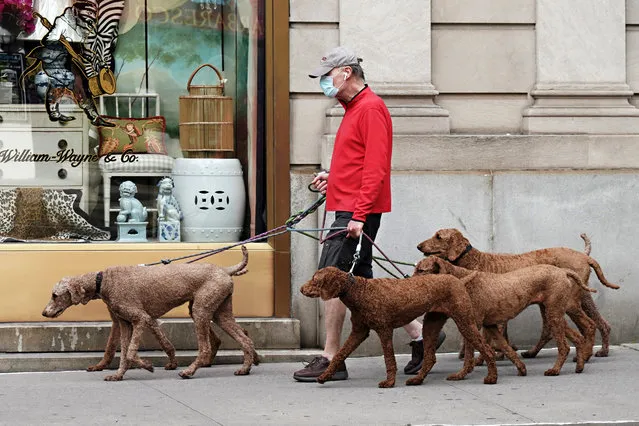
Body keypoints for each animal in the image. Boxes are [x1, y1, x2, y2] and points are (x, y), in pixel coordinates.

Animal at [42, 245, 258, 382]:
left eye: (54, 295)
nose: (43, 313)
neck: (101, 281)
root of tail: (225, 270)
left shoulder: (141, 319)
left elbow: (130, 352)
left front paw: (147, 365)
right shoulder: (124, 323)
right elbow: (122, 351)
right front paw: (118, 375)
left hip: (201, 311)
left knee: (206, 348)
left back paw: (189, 371)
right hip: (219, 313)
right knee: (245, 338)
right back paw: (245, 368)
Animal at [302, 268, 500, 388]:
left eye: (314, 280)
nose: (301, 289)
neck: (359, 291)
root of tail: (457, 280)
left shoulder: (384, 330)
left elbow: (389, 360)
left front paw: (389, 382)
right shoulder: (359, 331)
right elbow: (340, 354)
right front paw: (325, 376)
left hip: (465, 321)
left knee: (488, 350)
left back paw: (492, 378)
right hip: (432, 324)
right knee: (430, 358)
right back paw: (418, 379)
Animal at [416, 228, 620, 358]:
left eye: (438, 236)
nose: (418, 246)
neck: (473, 260)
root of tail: (585, 256)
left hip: (571, 299)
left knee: (591, 324)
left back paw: (593, 352)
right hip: (563, 301)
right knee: (578, 325)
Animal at [416, 256, 600, 376]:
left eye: (421, 270)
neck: (462, 279)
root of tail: (563, 271)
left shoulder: (472, 325)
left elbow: (469, 354)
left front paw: (462, 374)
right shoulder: (489, 326)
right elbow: (505, 348)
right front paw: (520, 368)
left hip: (554, 314)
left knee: (565, 346)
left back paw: (555, 370)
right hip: (554, 314)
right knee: (578, 337)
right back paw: (579, 366)